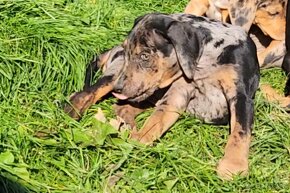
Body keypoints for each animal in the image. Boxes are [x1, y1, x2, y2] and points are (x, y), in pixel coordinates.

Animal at [111, 13, 260, 179]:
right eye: (125, 51)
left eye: (145, 56)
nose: (116, 89)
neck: (205, 60)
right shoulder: (178, 92)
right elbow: (157, 117)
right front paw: (139, 139)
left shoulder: (241, 96)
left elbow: (240, 131)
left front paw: (233, 166)